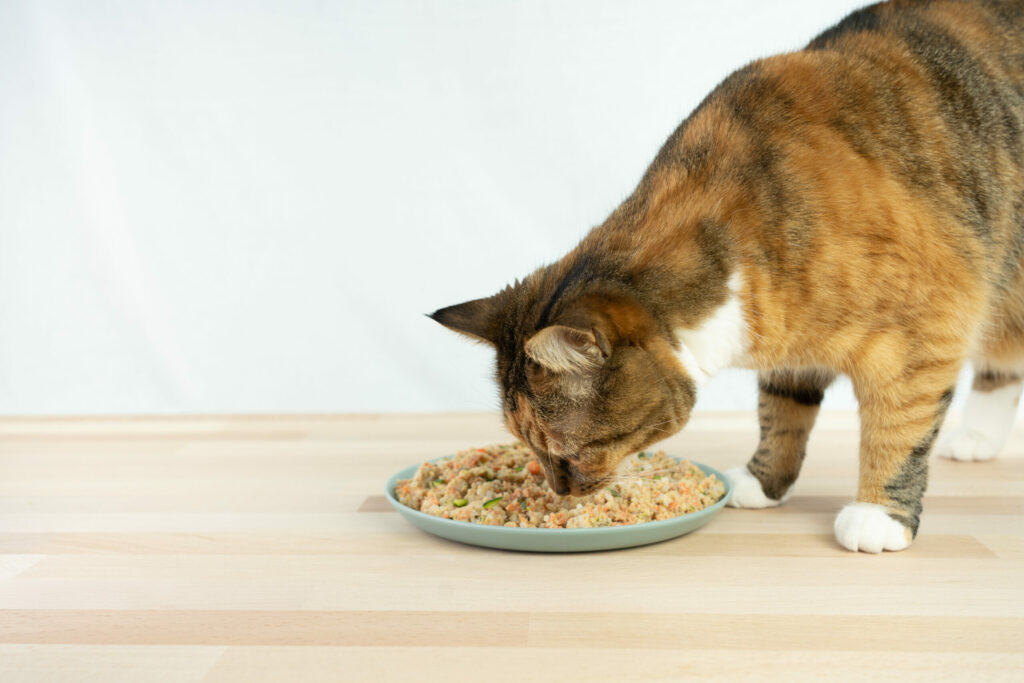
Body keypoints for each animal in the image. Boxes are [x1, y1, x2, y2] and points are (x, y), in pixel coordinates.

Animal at [428, 0, 1019, 552]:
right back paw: (978, 438)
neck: (743, 226)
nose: (558, 492)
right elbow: (782, 413)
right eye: (528, 448)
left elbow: (898, 430)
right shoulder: (794, 343)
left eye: (565, 451)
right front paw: (763, 482)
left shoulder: (925, 334)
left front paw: (877, 517)